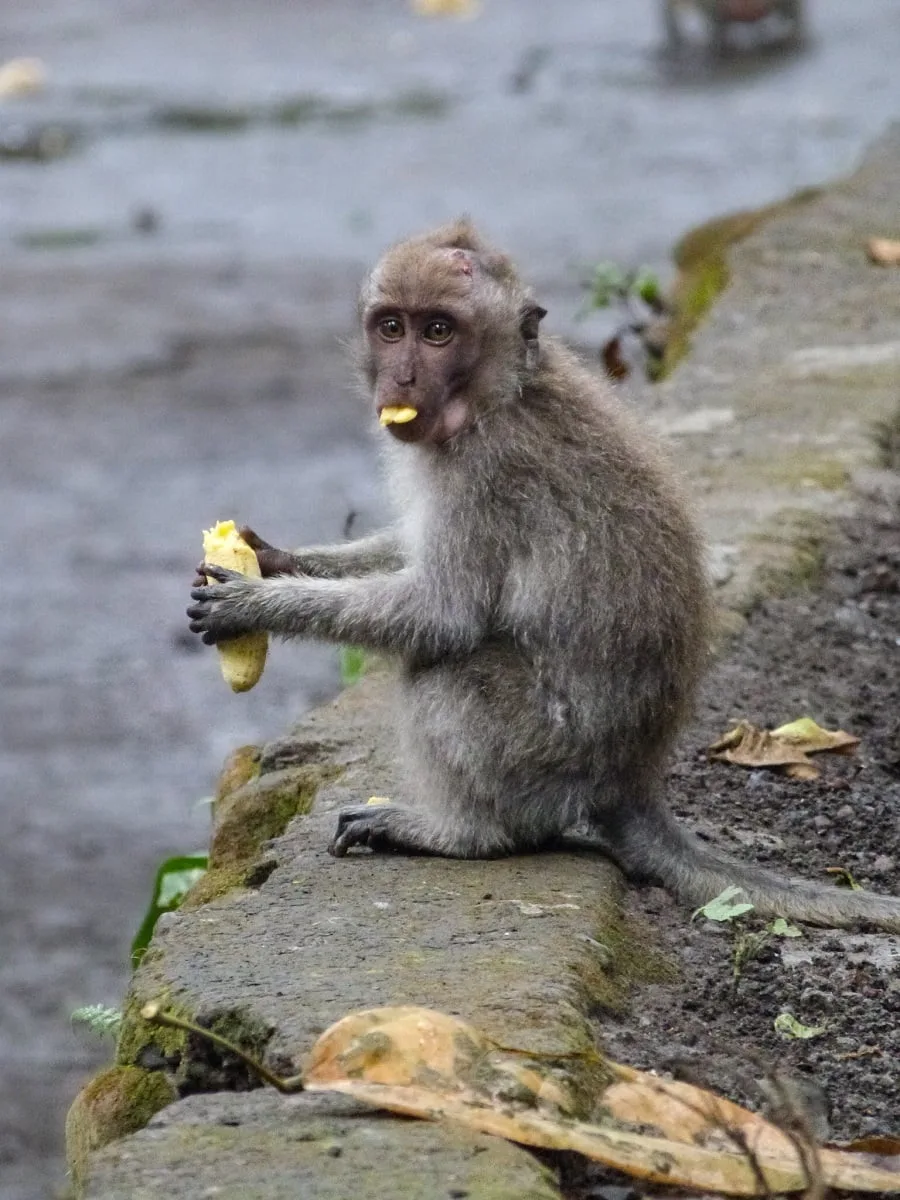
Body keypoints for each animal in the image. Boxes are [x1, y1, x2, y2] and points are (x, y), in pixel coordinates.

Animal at [188, 218, 900, 932]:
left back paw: (464, 835)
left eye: (438, 331)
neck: (500, 396)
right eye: (391, 327)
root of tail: (630, 781)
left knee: (445, 669)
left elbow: (441, 613)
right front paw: (271, 557)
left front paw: (255, 603)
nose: (403, 376)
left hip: (545, 755)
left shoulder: (487, 472)